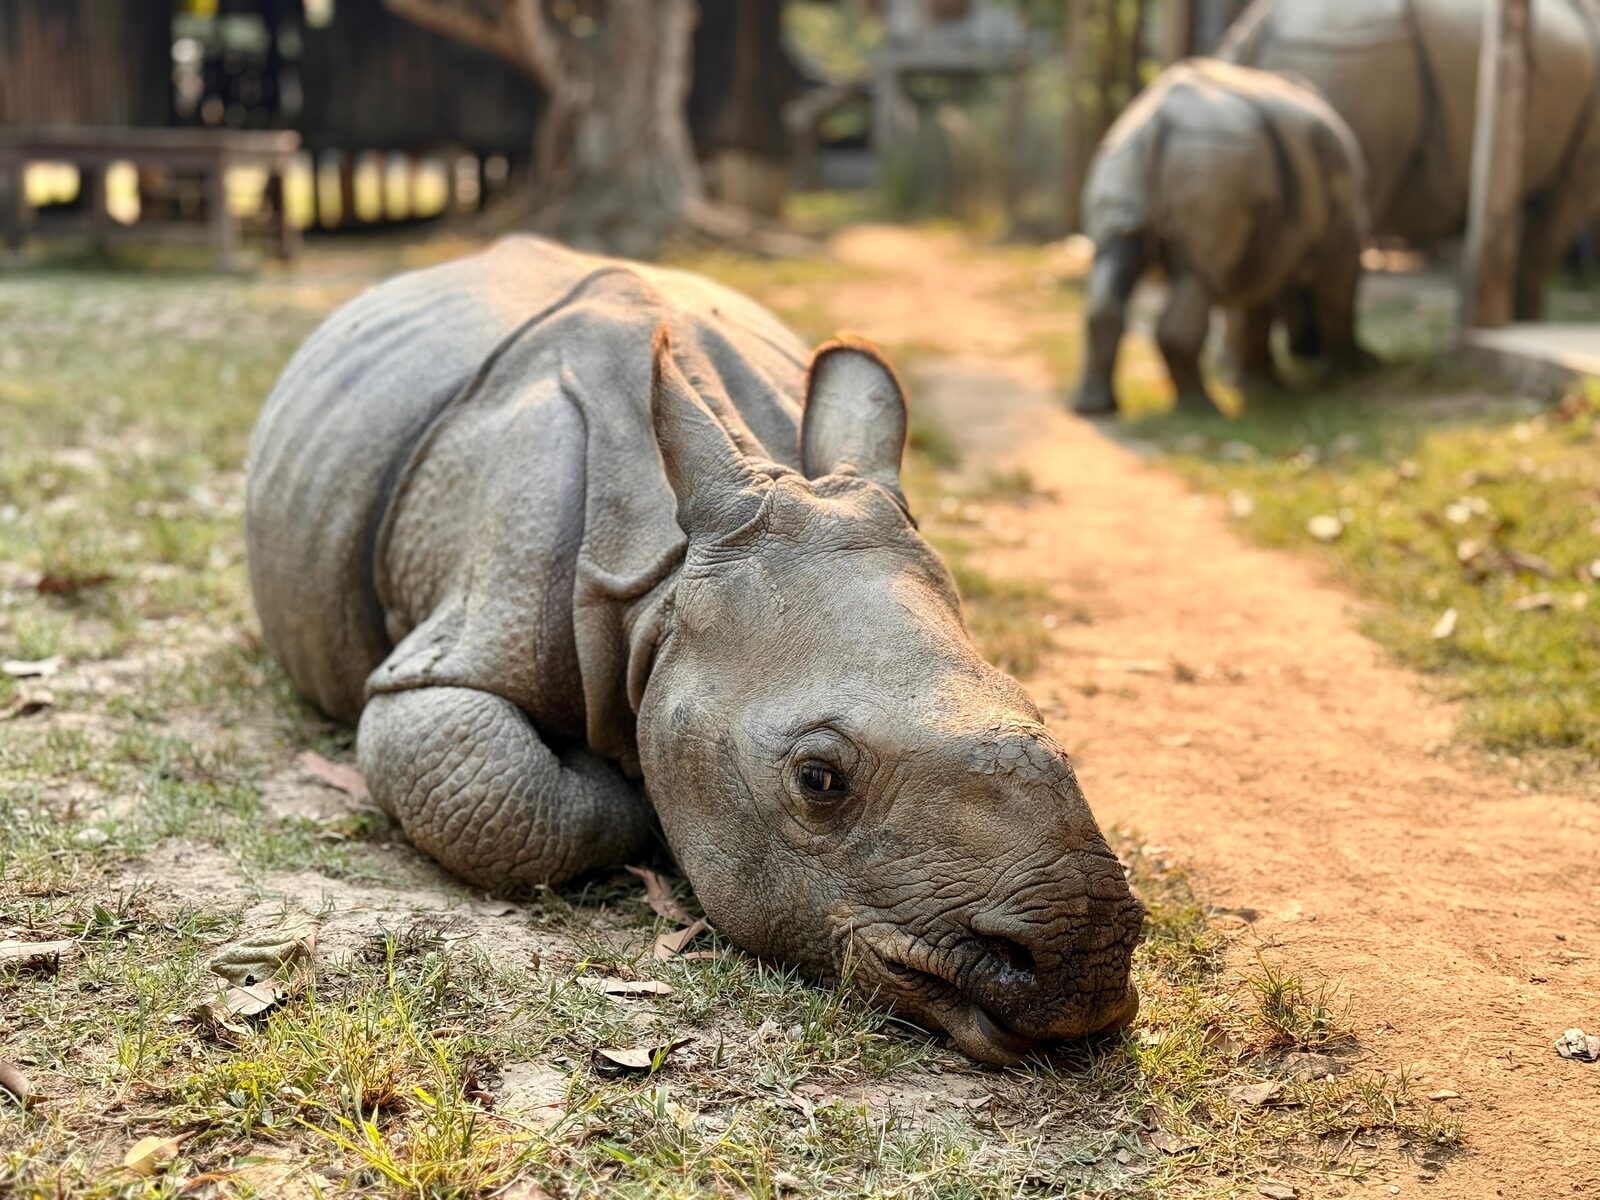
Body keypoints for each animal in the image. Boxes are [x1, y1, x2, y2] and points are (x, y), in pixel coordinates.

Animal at [245, 236, 1143, 1064]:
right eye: (819, 780)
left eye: (1039, 706)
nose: (1084, 960)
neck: (666, 594)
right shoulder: (453, 653)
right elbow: (499, 800)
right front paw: (631, 796)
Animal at [1075, 59, 1370, 416]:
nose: (1305, 348)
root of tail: (1159, 121)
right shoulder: (1343, 238)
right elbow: (1337, 298)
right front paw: (1353, 369)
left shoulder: (1268, 239)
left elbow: (1253, 308)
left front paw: (1261, 386)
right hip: (1214, 155)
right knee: (1201, 274)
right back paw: (1201, 408)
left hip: (1127, 153)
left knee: (1116, 255)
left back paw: (1094, 407)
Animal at [1222, 0, 1600, 320]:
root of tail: (1258, 22)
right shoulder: (1582, 167)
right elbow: (1539, 243)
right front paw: (1521, 322)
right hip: (1350, 54)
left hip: (1337, 56)